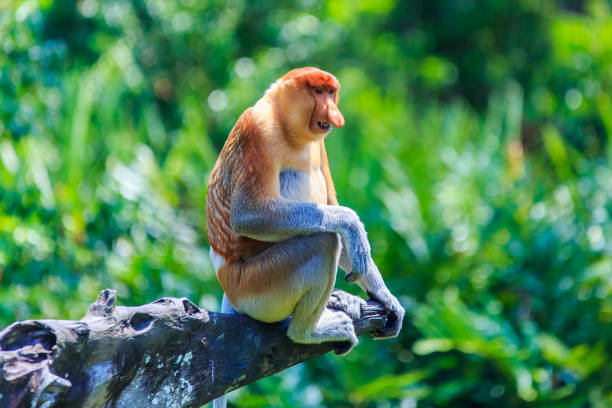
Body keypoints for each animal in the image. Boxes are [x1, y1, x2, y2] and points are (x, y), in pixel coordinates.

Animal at [208, 67, 404, 356]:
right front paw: (353, 224)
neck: (285, 126)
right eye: (317, 91)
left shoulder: (319, 145)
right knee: (323, 241)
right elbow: (248, 215)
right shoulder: (256, 130)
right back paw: (309, 332)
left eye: (331, 92)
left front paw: (385, 296)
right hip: (255, 287)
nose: (334, 114)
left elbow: (331, 206)